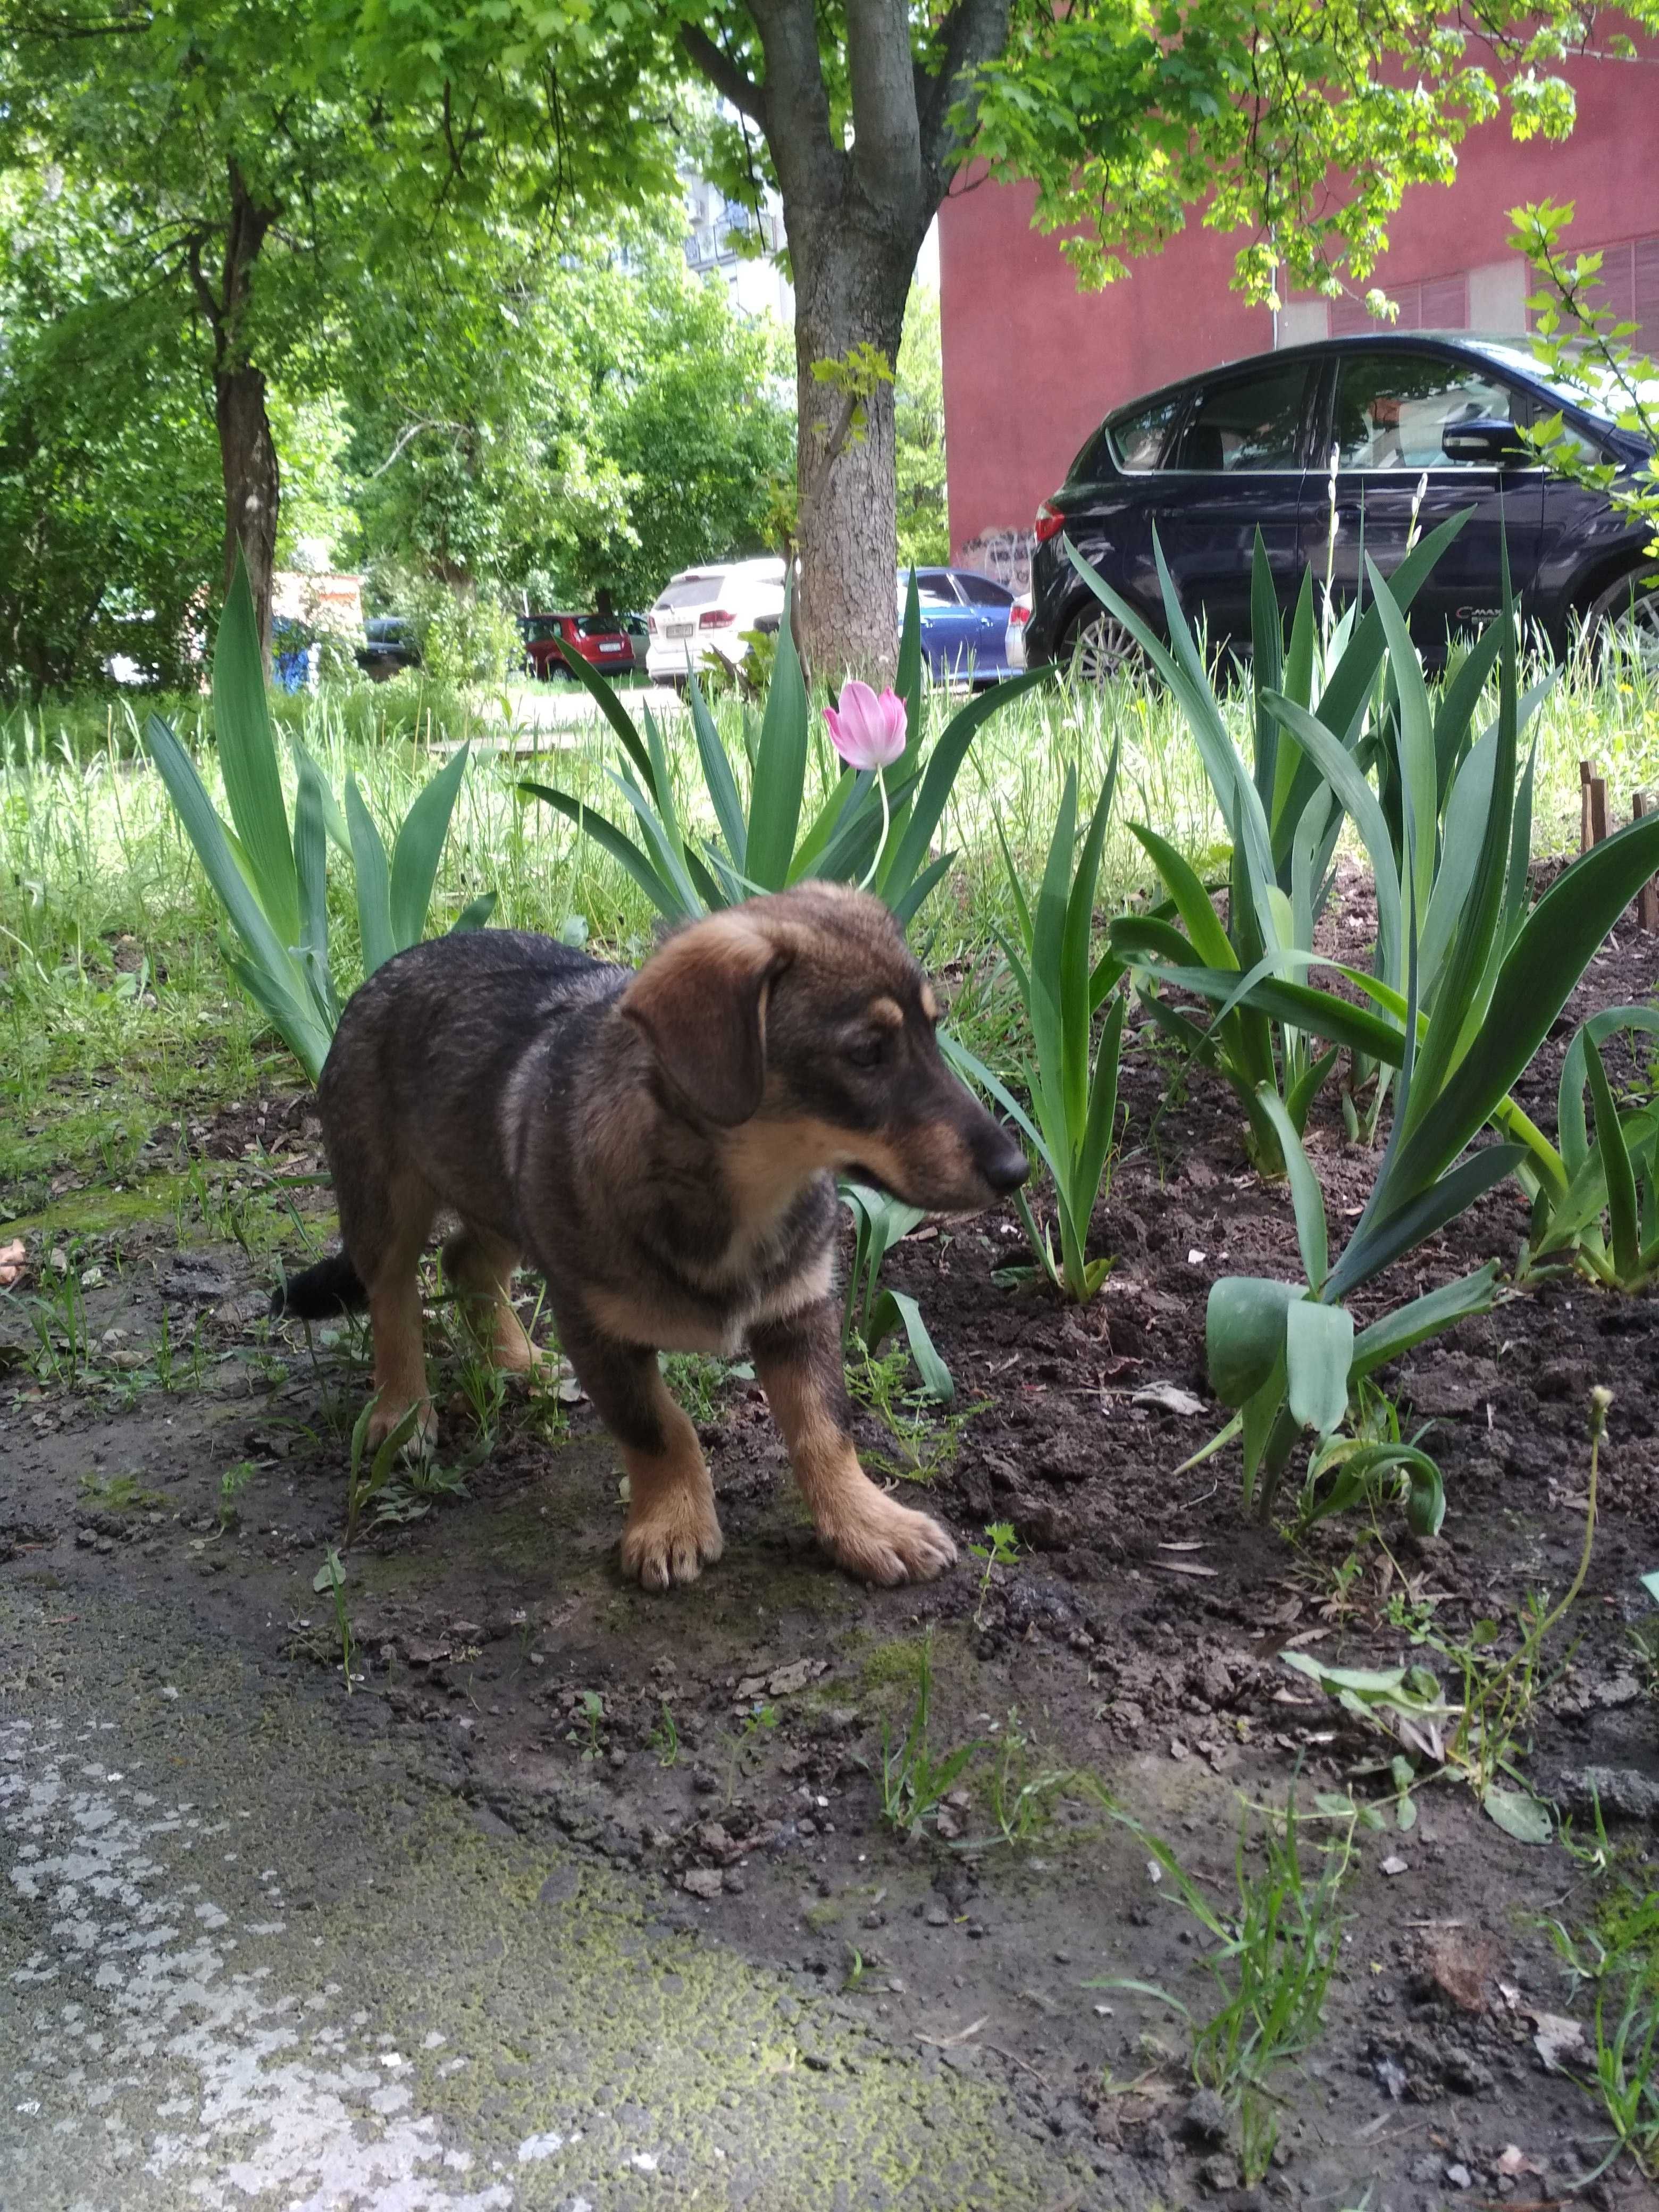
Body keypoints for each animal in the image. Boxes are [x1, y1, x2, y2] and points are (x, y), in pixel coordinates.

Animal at [276, 880, 1026, 1593]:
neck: (745, 1191)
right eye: (867, 1053)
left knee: (467, 1263)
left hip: (503, 1195)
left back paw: (521, 1362)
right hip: (385, 1198)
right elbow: (659, 1428)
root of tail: (398, 963)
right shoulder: (598, 1330)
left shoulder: (798, 1308)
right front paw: (672, 1524)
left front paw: (867, 1524)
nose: (1016, 1170)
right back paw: (402, 1410)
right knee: (393, 1297)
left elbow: (825, 1429)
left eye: (935, 1031)